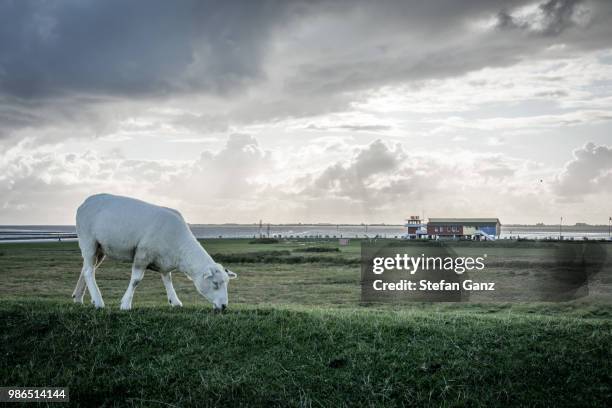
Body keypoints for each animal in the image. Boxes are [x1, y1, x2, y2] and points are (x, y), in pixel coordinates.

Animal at [70, 193, 235, 310]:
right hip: (88, 240)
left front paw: (175, 301)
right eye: (215, 283)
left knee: (86, 269)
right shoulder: (143, 254)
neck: (180, 250)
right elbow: (136, 280)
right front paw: (125, 304)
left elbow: (168, 279)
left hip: (100, 249)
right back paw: (98, 301)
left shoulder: (164, 260)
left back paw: (78, 298)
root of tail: (85, 203)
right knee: (89, 271)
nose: (224, 306)